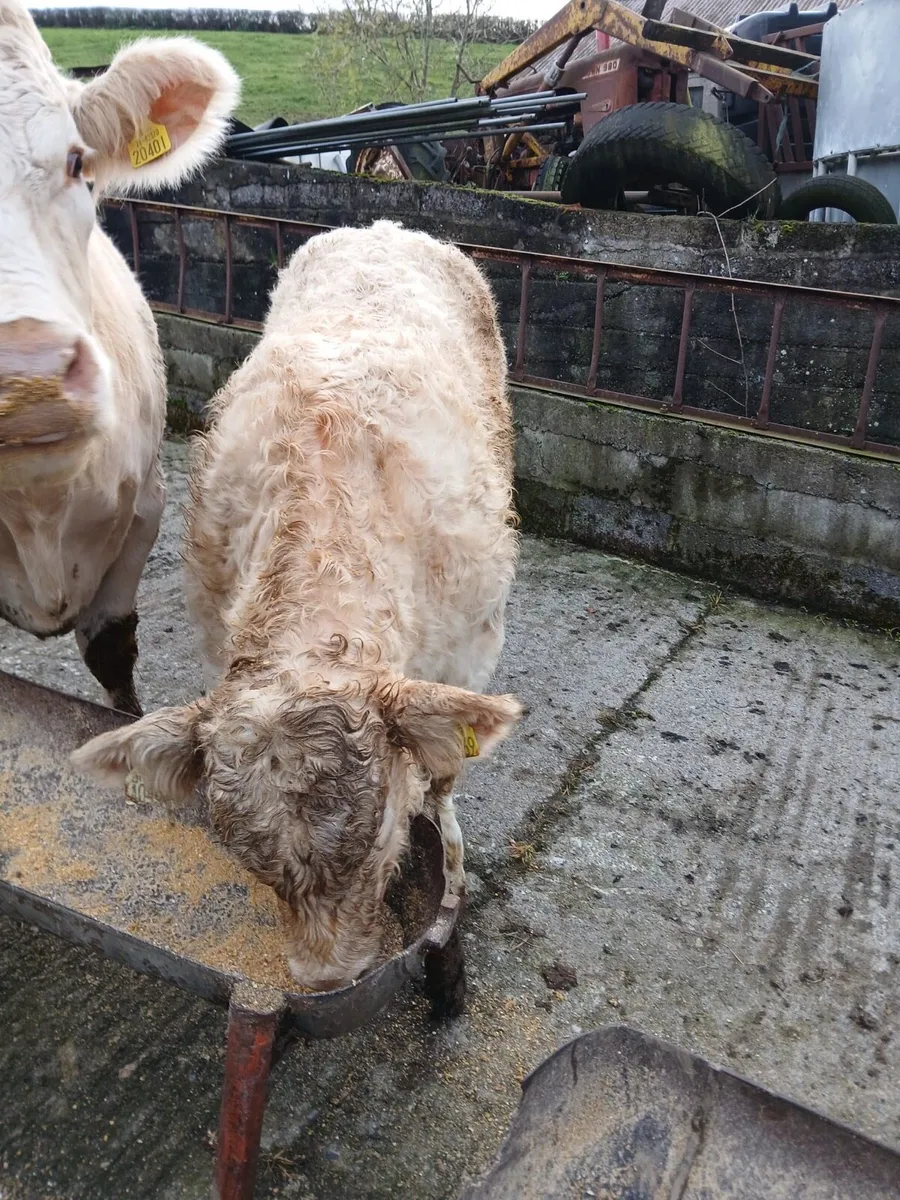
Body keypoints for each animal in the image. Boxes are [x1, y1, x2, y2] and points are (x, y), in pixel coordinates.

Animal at [73, 221, 522, 991]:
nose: (322, 981)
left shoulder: (471, 652)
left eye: (381, 843)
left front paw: (450, 880)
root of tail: (384, 228)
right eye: (256, 867)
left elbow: (442, 778)